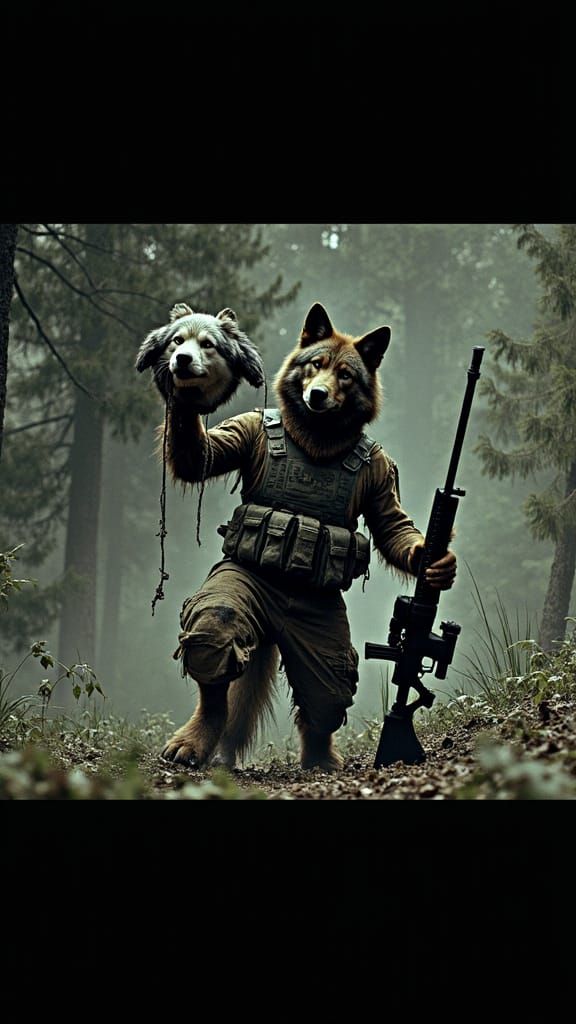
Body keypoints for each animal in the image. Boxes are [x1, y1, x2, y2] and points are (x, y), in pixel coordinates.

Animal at [140, 302, 457, 772]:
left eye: (346, 375)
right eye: (315, 364)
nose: (318, 395)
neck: (318, 440)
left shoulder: (382, 471)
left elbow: (391, 526)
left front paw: (436, 562)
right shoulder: (245, 431)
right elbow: (201, 459)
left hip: (322, 640)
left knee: (327, 692)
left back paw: (321, 757)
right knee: (217, 635)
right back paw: (197, 739)